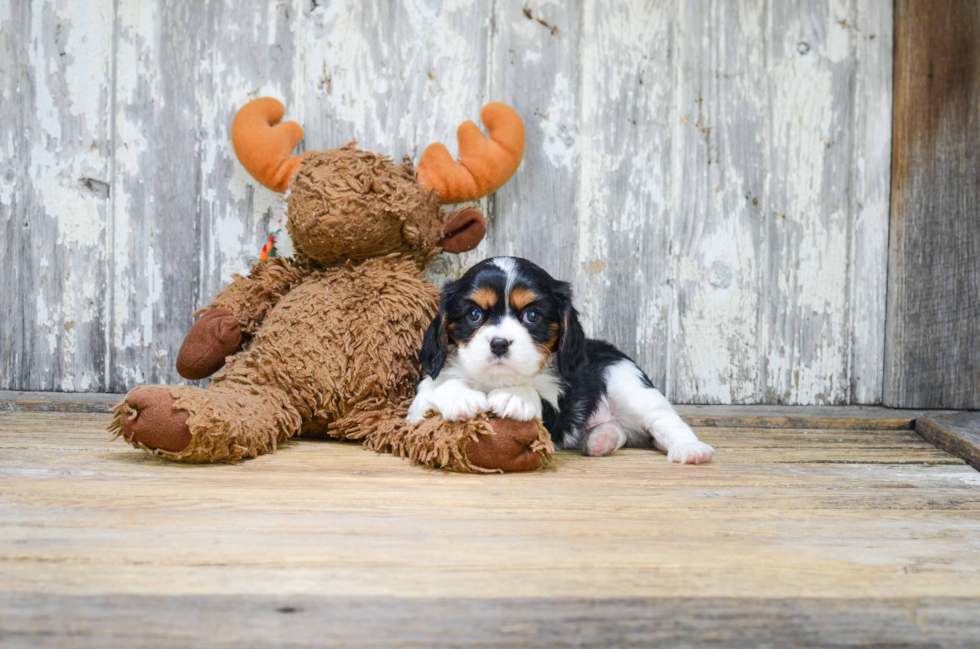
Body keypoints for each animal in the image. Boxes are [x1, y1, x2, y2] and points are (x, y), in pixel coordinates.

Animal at [402, 256, 716, 464]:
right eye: (474, 315)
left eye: (532, 315)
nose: (499, 343)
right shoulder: (417, 411)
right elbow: (436, 390)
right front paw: (462, 397)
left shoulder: (556, 409)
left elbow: (536, 396)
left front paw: (515, 396)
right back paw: (602, 439)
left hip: (627, 383)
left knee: (663, 418)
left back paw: (690, 449)